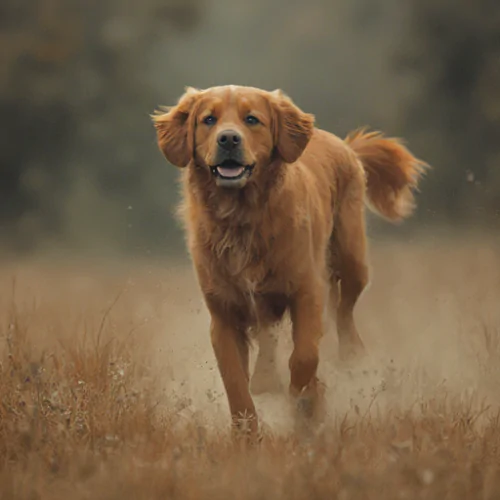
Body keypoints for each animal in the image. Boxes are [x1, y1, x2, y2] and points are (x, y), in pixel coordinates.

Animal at [151, 86, 426, 438]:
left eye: (252, 119)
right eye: (208, 120)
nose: (228, 139)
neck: (242, 217)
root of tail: (344, 145)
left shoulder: (306, 291)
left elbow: (304, 356)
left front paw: (307, 401)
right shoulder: (224, 314)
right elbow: (236, 384)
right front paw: (246, 436)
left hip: (352, 258)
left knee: (344, 310)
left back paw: (350, 355)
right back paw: (266, 380)